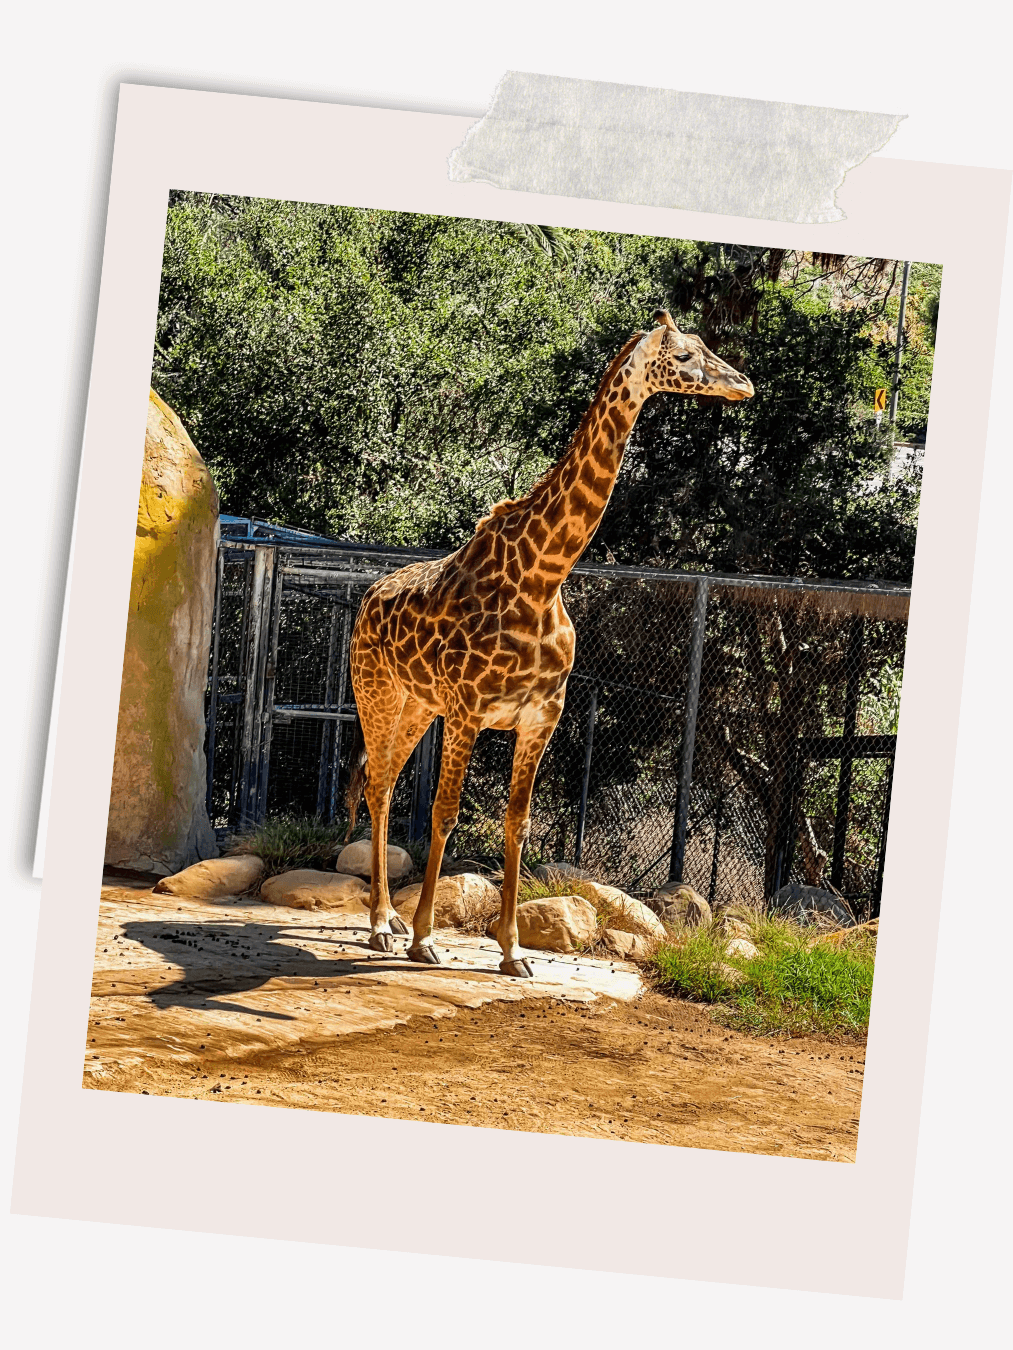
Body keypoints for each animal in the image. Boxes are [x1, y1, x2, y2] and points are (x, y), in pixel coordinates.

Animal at [348, 310, 756, 977]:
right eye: (686, 355)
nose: (742, 384)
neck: (543, 576)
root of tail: (367, 599)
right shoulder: (469, 711)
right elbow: (444, 813)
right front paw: (426, 939)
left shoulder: (542, 715)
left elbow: (518, 822)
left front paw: (513, 951)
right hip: (376, 694)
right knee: (380, 786)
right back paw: (385, 927)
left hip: (417, 706)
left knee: (381, 782)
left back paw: (387, 922)